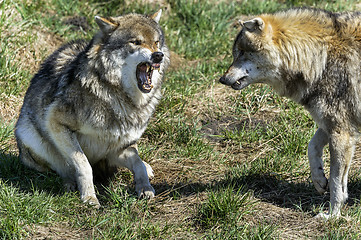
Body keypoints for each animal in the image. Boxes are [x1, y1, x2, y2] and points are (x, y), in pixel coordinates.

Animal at [15, 9, 170, 208]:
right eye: (136, 42)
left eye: (156, 42)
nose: (158, 55)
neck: (118, 97)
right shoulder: (56, 122)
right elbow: (83, 164)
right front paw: (89, 197)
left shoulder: (119, 146)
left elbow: (137, 163)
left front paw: (145, 187)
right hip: (31, 137)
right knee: (58, 169)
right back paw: (69, 183)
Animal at [218, 7, 360, 218]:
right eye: (236, 54)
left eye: (242, 53)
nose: (222, 79)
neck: (321, 58)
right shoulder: (331, 124)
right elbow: (312, 147)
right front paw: (319, 180)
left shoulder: (341, 131)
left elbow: (336, 184)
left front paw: (332, 216)